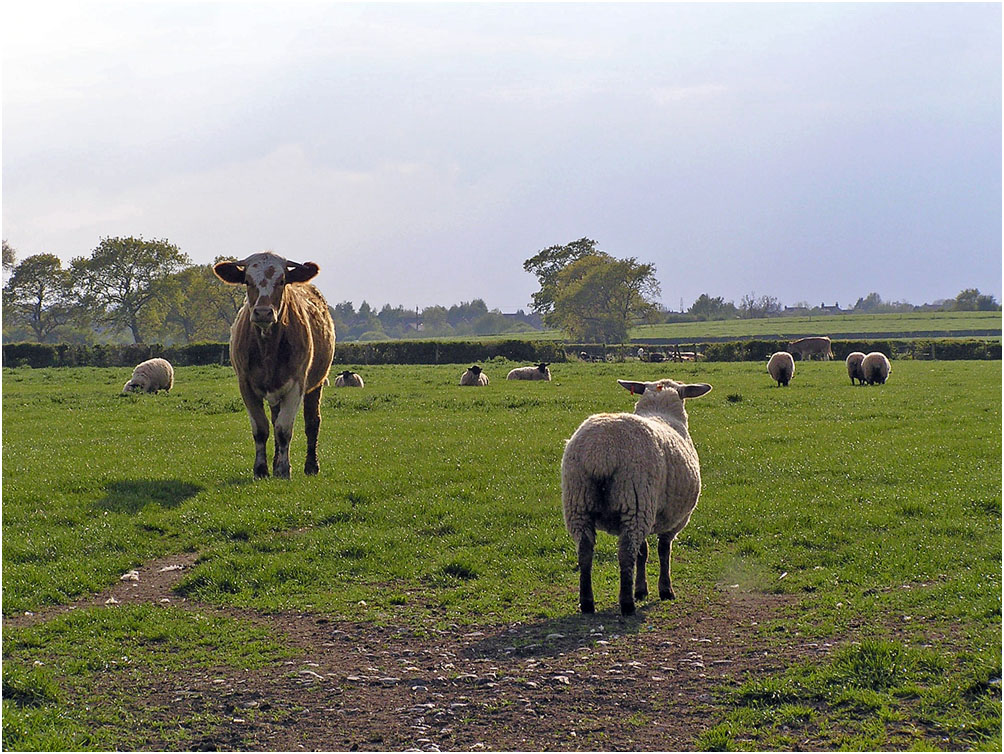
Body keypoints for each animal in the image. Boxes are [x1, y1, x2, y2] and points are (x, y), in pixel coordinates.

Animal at [213, 252, 335, 477]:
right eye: (247, 281)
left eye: (281, 281)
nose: (263, 312)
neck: (267, 348)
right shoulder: (246, 385)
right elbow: (261, 429)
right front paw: (261, 469)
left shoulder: (297, 385)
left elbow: (284, 429)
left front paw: (283, 469)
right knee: (274, 418)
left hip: (317, 383)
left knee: (312, 422)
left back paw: (311, 465)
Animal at [558, 379, 714, 614]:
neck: (660, 411)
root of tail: (600, 451)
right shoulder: (674, 519)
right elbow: (662, 551)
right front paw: (665, 590)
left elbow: (644, 551)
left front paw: (641, 589)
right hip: (634, 501)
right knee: (626, 552)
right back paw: (627, 603)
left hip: (578, 502)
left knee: (585, 551)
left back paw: (587, 602)